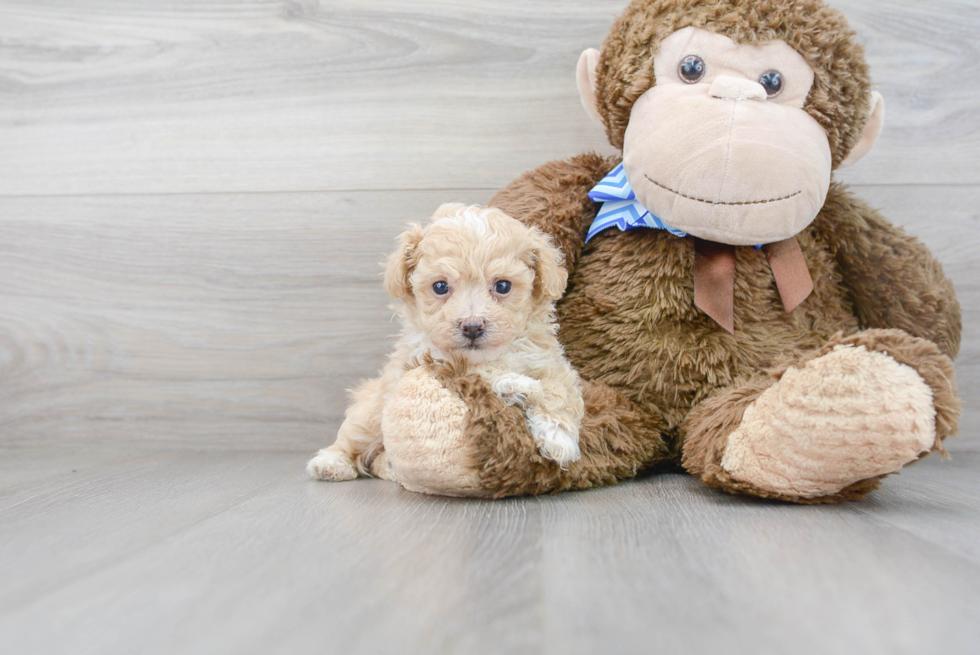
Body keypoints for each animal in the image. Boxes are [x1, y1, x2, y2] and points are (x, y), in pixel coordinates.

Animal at [306, 201, 580, 482]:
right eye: (440, 287)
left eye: (503, 286)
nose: (472, 326)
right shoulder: (428, 361)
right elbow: (479, 373)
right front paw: (515, 385)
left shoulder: (551, 364)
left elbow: (558, 390)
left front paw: (558, 437)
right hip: (372, 411)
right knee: (353, 437)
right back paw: (331, 463)